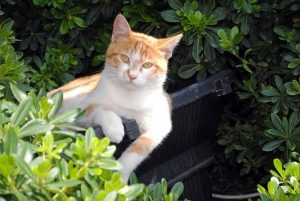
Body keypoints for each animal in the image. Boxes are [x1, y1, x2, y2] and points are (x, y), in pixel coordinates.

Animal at [48, 13, 182, 181]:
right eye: (124, 58)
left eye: (147, 65)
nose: (132, 76)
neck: (129, 97)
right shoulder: (81, 111)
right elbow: (98, 108)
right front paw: (115, 129)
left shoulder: (160, 123)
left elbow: (141, 146)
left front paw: (120, 174)